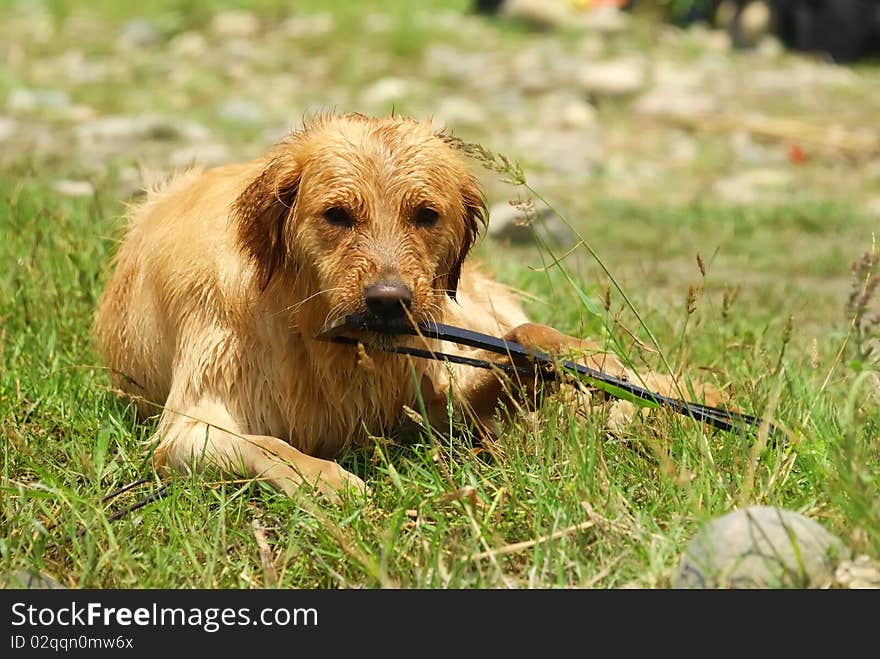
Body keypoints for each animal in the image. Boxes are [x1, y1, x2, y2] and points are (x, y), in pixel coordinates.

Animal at [93, 112, 636, 500]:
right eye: (337, 214)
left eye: (426, 214)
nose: (389, 302)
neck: (311, 331)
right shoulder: (187, 426)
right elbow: (268, 445)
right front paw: (324, 478)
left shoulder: (431, 399)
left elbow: (520, 342)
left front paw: (577, 356)